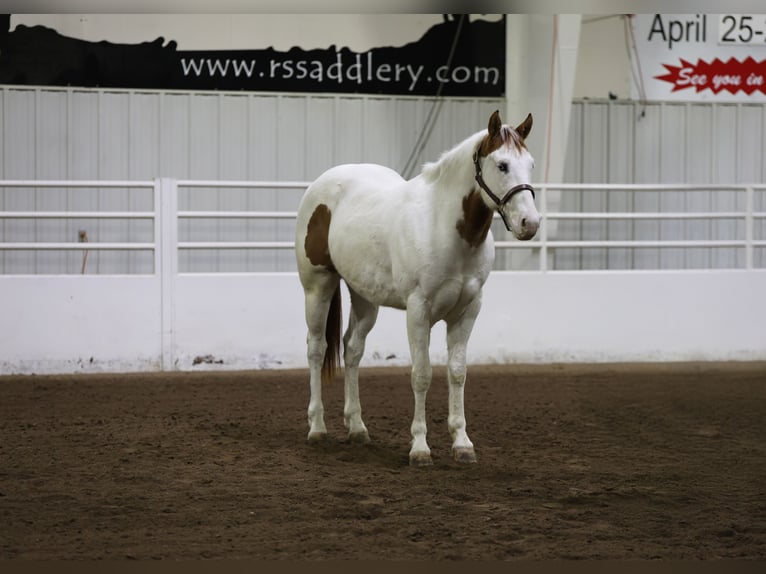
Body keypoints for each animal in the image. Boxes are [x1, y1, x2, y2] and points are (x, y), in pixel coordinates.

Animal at [294, 109, 540, 468]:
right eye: (502, 165)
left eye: (531, 164)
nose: (529, 224)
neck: (445, 227)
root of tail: (321, 185)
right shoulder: (418, 311)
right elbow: (421, 374)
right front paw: (420, 448)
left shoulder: (468, 310)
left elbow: (457, 373)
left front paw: (462, 443)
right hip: (318, 286)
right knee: (316, 348)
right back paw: (317, 428)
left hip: (365, 297)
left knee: (352, 349)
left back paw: (357, 428)